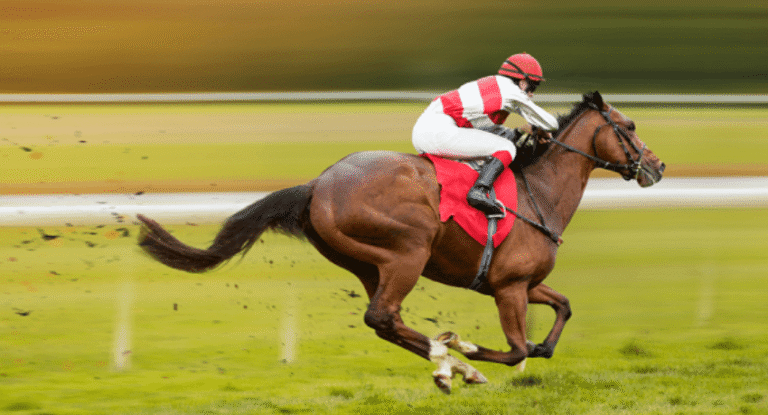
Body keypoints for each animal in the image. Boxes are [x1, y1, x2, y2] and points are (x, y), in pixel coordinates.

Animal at [137, 91, 665, 393]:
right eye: (630, 127)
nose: (657, 167)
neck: (540, 193)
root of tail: (318, 184)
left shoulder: (521, 282)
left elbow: (560, 312)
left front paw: (501, 353)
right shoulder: (510, 287)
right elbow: (517, 349)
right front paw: (469, 352)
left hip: (367, 264)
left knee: (384, 321)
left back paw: (447, 364)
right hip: (408, 252)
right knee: (383, 316)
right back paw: (453, 362)